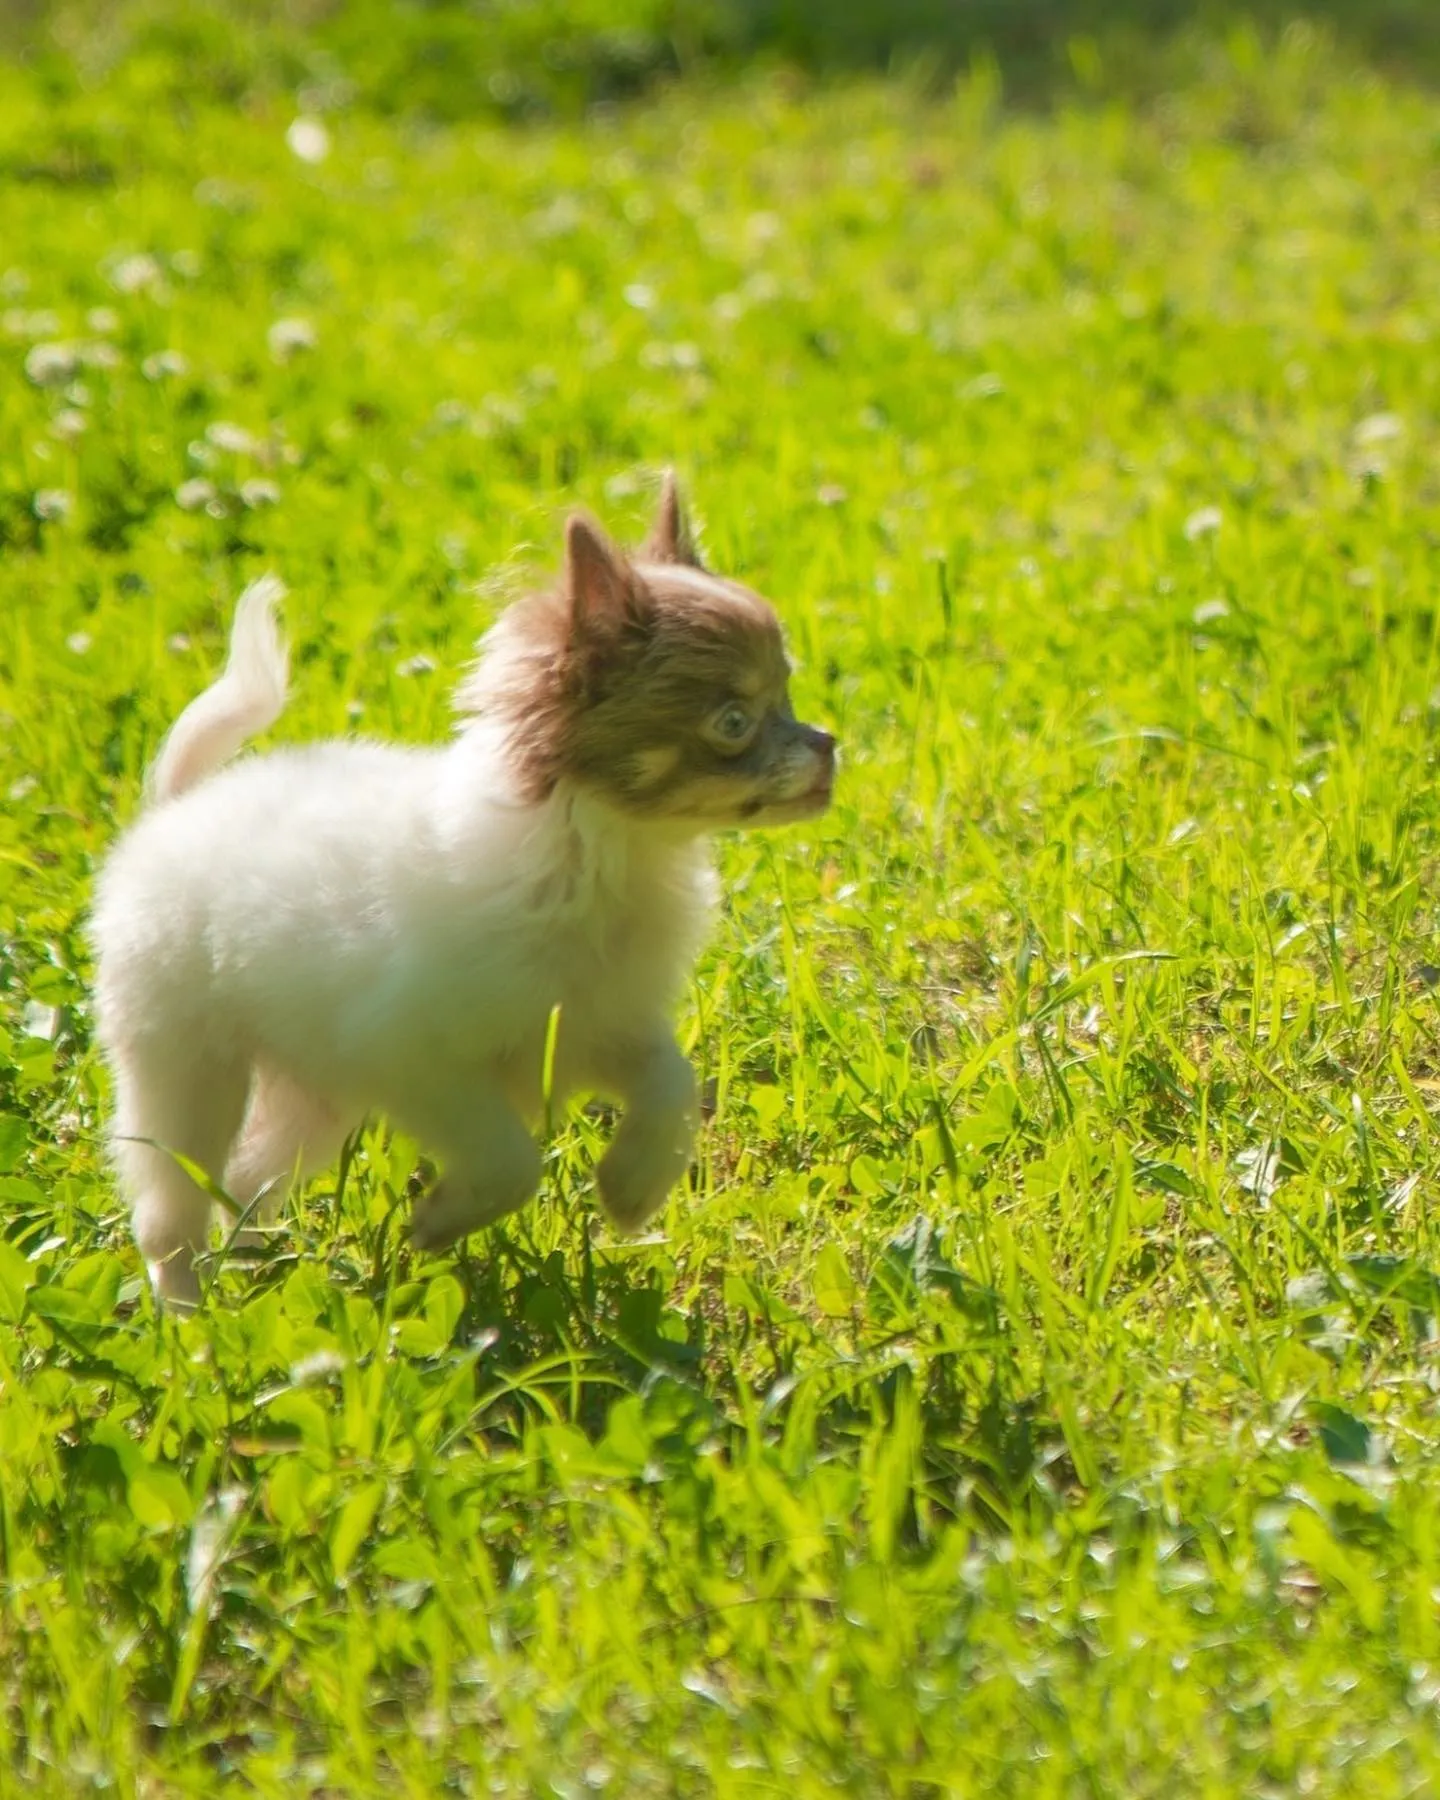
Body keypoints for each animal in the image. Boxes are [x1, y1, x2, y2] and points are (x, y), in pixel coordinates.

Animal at [90, 478, 831, 1303]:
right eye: (734, 721)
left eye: (789, 695)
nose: (828, 747)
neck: (600, 857)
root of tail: (177, 807)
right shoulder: (419, 1059)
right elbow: (512, 1162)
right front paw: (440, 1221)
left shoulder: (598, 1029)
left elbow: (672, 1084)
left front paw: (631, 1190)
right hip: (183, 1063)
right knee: (172, 1208)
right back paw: (191, 1314)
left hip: (312, 1089)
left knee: (247, 1179)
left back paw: (256, 1271)